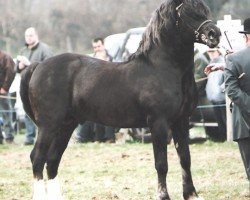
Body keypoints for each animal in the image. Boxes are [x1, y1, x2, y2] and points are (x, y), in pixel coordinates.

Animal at [20, 0, 219, 199]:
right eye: (187, 12)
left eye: (204, 10)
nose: (214, 34)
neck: (164, 69)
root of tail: (38, 65)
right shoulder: (158, 123)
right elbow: (161, 163)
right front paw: (163, 195)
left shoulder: (181, 121)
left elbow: (185, 158)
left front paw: (191, 194)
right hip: (49, 125)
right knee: (37, 158)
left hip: (66, 125)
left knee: (52, 161)